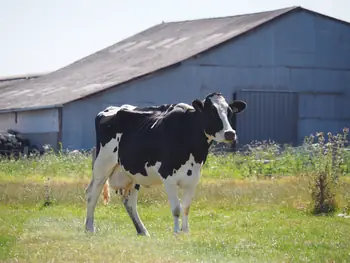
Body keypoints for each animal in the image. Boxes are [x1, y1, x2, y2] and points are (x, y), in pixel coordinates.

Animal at [84, 92, 246, 235]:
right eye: (212, 112)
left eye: (229, 112)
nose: (230, 133)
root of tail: (110, 109)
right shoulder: (169, 177)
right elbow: (176, 209)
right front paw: (176, 232)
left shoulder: (193, 179)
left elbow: (186, 207)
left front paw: (186, 232)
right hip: (102, 165)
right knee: (92, 194)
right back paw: (89, 228)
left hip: (133, 173)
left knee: (129, 202)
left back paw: (142, 231)